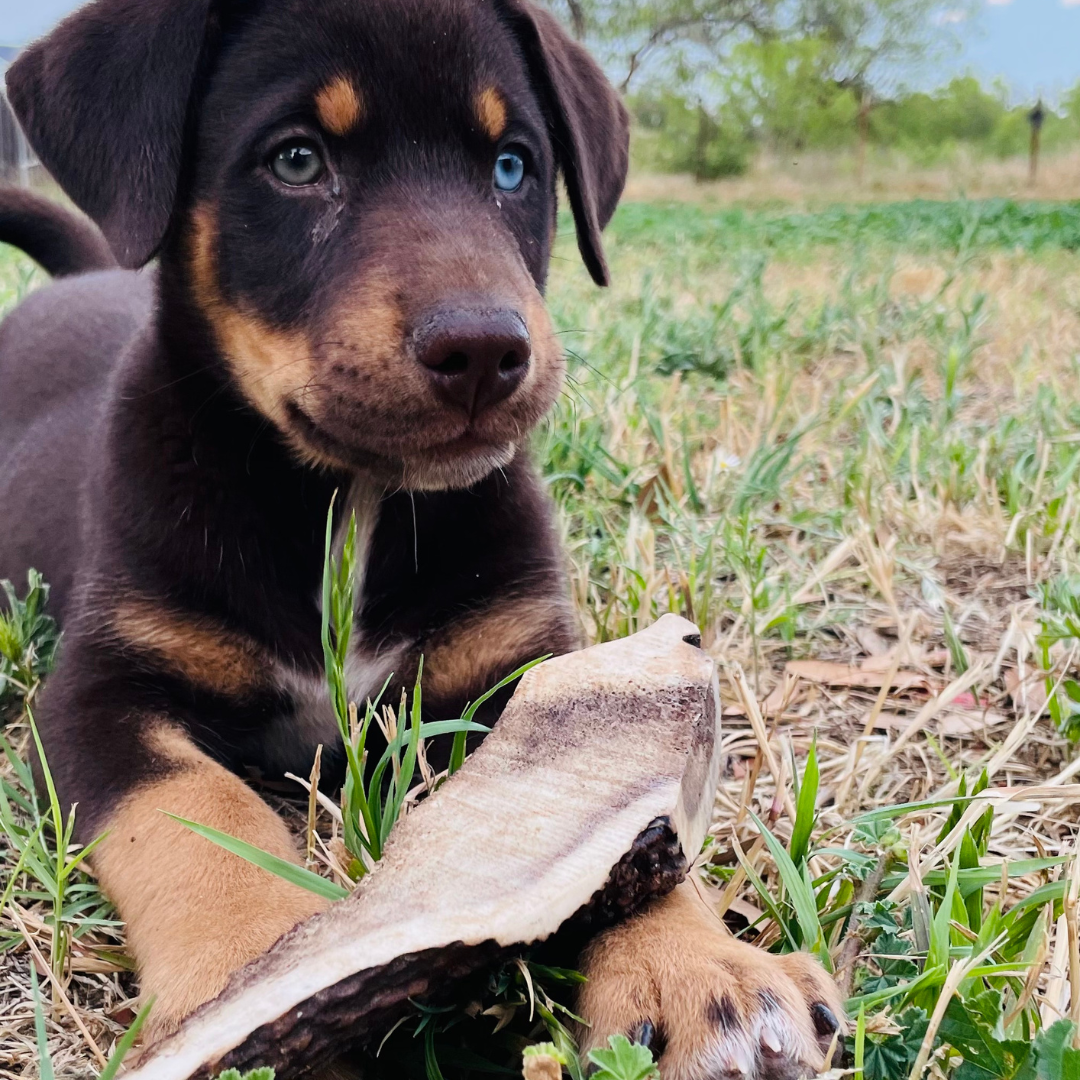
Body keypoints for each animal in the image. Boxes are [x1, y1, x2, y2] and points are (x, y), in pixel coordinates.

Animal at [0, 0, 842, 1071]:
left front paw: (703, 971)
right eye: (297, 159)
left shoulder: (518, 660)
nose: (484, 350)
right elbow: (192, 808)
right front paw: (253, 979)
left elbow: (624, 822)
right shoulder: (96, 698)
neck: (354, 503)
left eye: (514, 166)